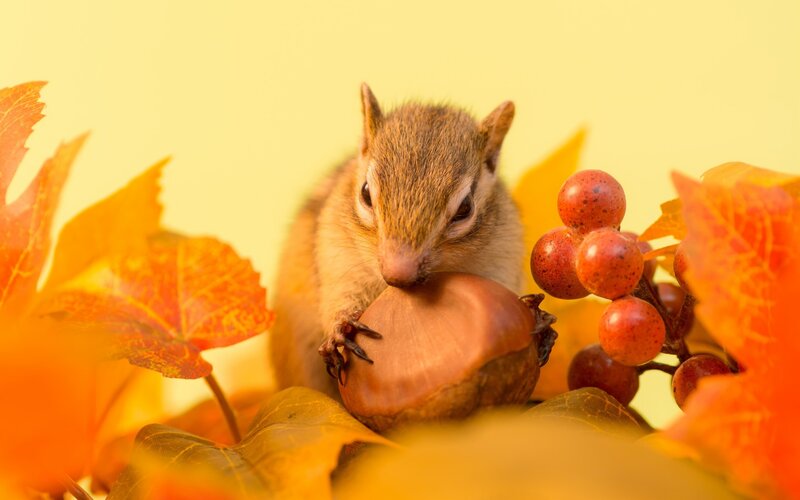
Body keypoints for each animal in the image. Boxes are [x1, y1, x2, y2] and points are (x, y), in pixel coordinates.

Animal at [269, 84, 525, 399]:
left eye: (465, 208)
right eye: (366, 193)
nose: (397, 274)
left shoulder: (502, 256)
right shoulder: (337, 257)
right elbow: (340, 296)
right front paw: (341, 328)